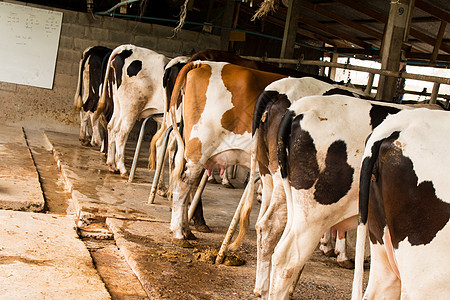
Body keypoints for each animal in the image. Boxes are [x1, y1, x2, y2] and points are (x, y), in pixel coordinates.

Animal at [229, 76, 372, 296]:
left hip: (268, 173)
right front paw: (343, 255)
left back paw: (262, 287)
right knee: (275, 234)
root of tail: (276, 89)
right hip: (302, 197)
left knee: (263, 224)